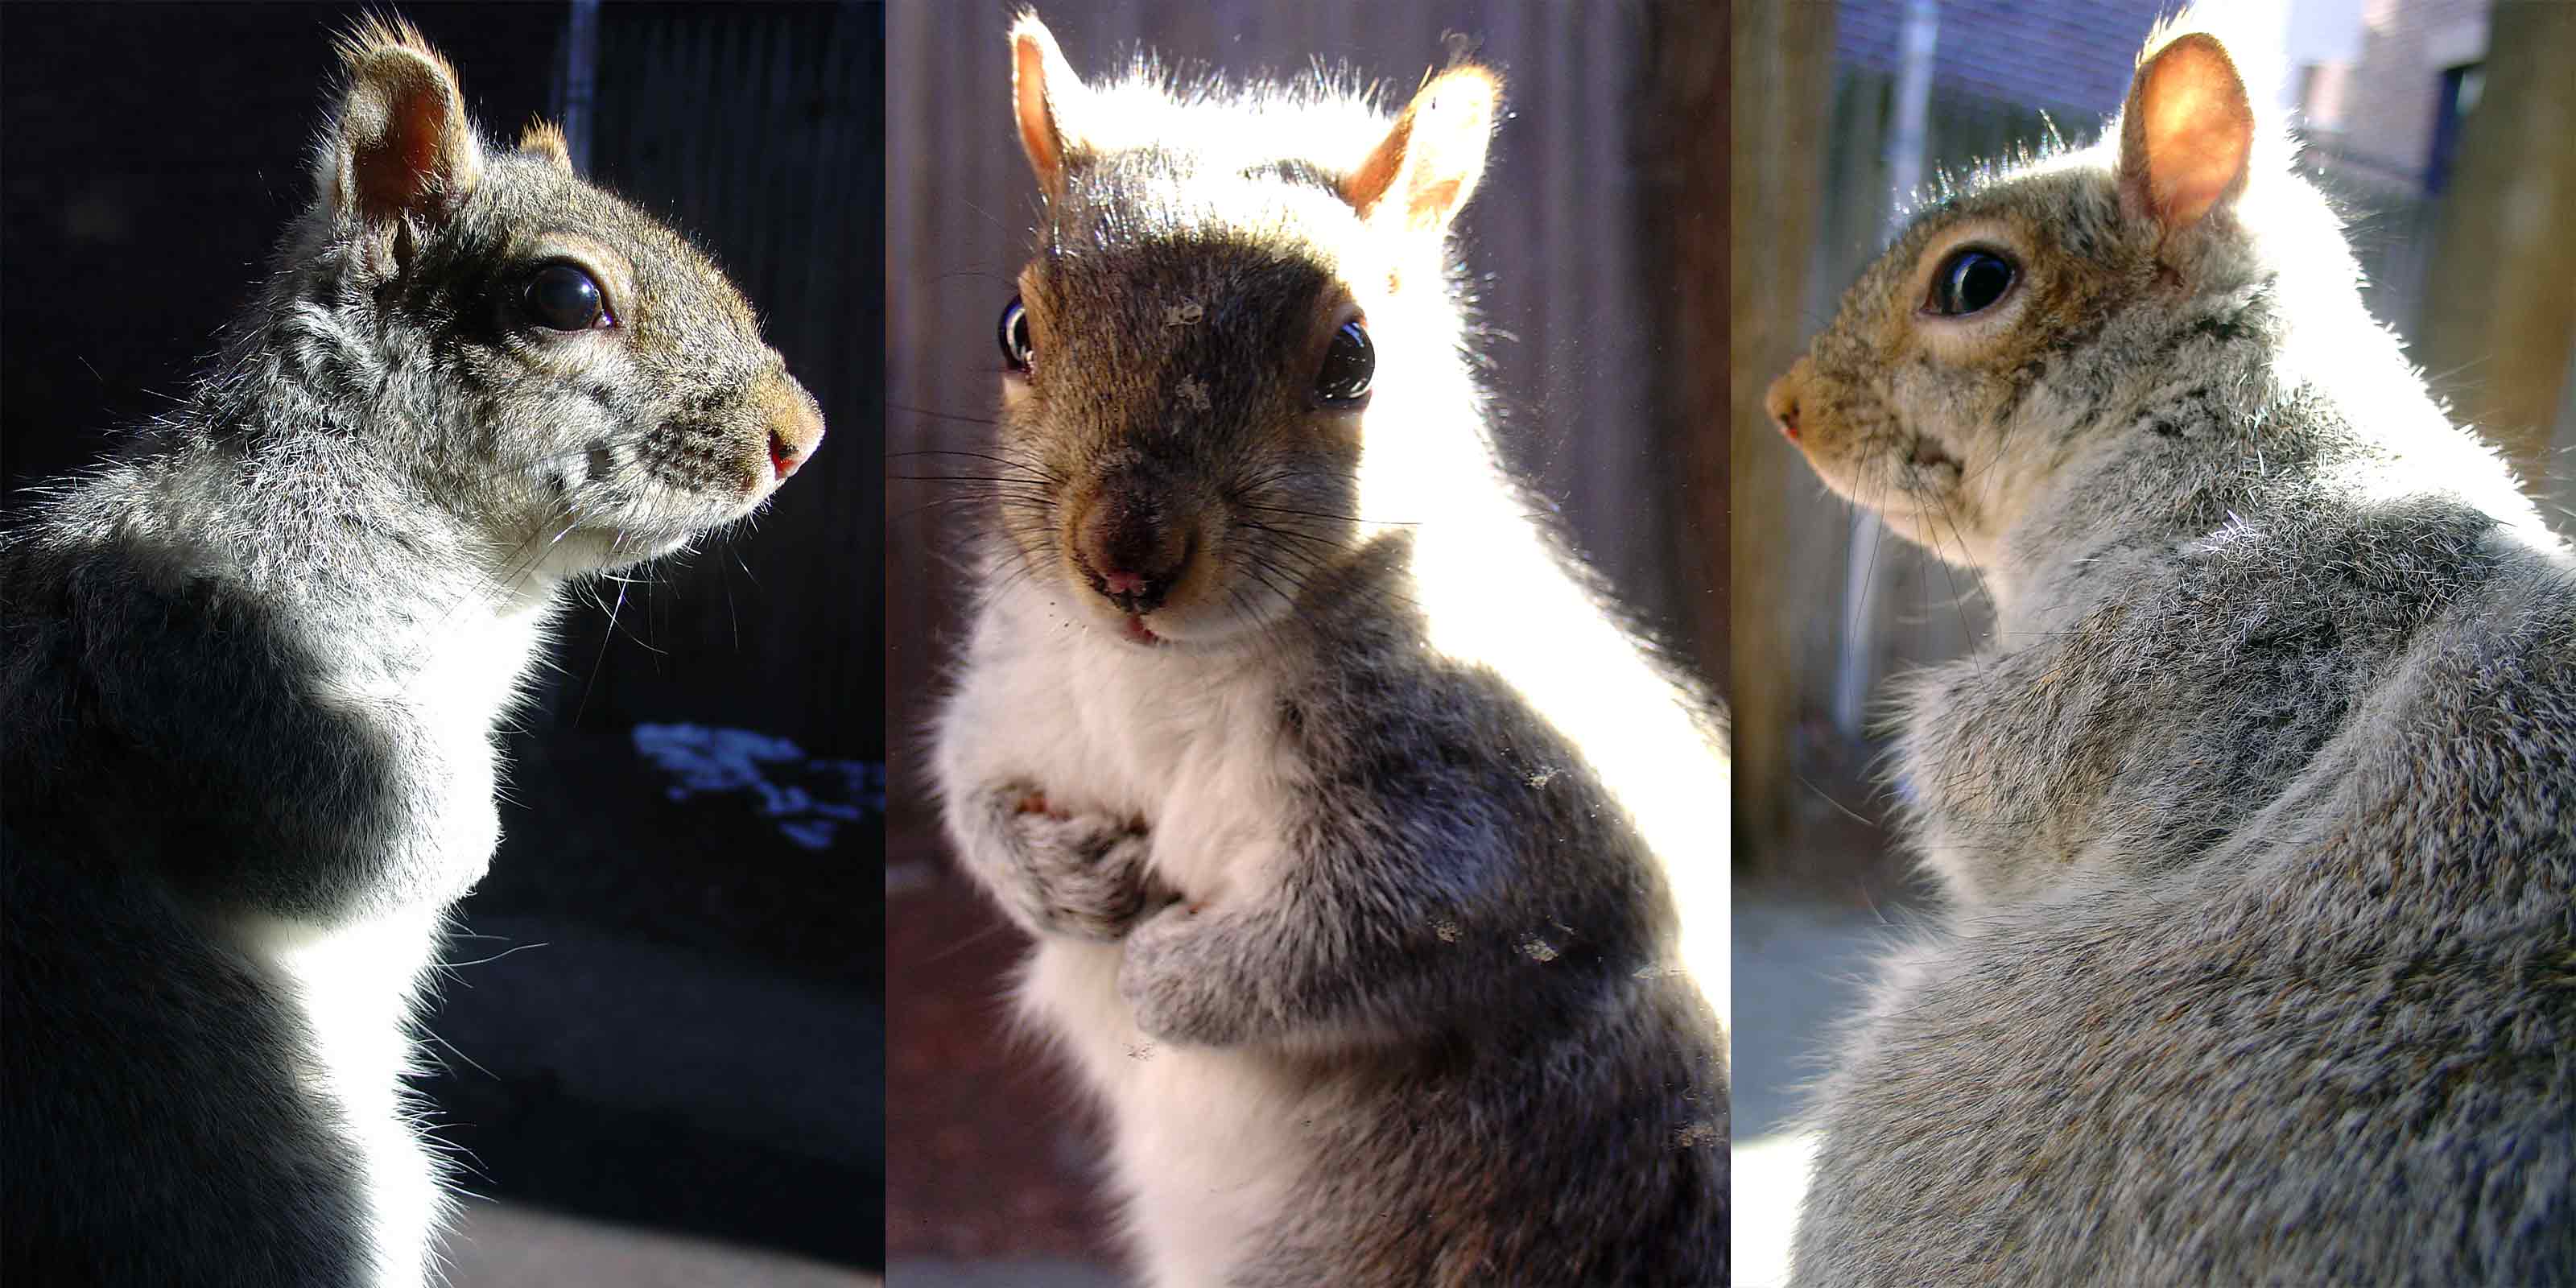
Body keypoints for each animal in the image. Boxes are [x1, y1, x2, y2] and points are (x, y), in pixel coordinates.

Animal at [0, 19, 823, 1286]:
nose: (801, 435)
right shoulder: (188, 655)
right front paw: (460, 839)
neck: (492, 585)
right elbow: (349, 823)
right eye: (565, 294)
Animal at [929, 13, 1729, 1286]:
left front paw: (1166, 974)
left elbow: (1369, 938)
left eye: (1354, 360)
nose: (1124, 560)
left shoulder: (1505, 818)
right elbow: (967, 792)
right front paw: (1056, 880)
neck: (1165, 668)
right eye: (1015, 328)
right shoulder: (1015, 692)